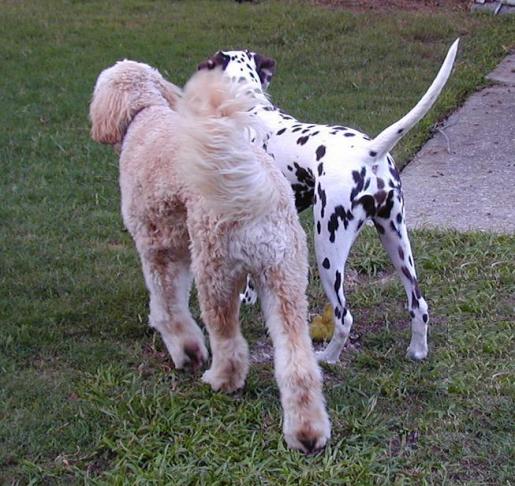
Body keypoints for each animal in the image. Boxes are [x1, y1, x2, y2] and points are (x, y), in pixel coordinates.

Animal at [88, 61, 330, 456]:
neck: (145, 113)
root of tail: (257, 189)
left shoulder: (159, 247)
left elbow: (168, 305)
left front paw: (184, 350)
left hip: (216, 272)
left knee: (228, 342)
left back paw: (220, 380)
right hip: (285, 280)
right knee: (297, 361)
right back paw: (307, 432)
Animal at [200, 39, 462, 362]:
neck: (250, 112)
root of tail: (369, 151)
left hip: (327, 248)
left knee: (344, 317)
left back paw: (327, 357)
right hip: (396, 242)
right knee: (419, 304)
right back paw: (417, 351)